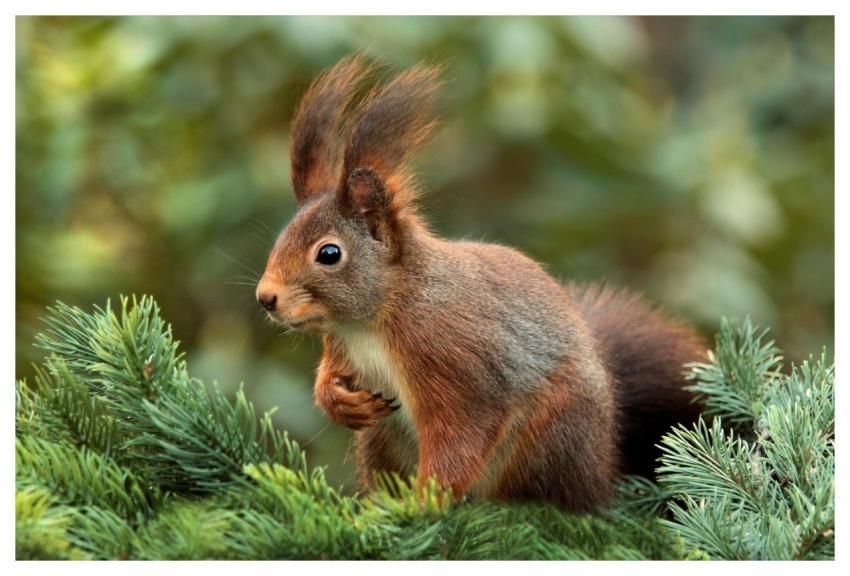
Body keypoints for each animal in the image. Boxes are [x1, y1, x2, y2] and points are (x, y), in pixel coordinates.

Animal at [256, 55, 705, 512]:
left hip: (550, 435)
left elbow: (460, 436)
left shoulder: (453, 360)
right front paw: (338, 401)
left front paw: (424, 504)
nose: (265, 298)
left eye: (329, 254)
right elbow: (329, 377)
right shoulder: (342, 347)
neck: (373, 319)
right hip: (381, 440)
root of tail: (602, 467)